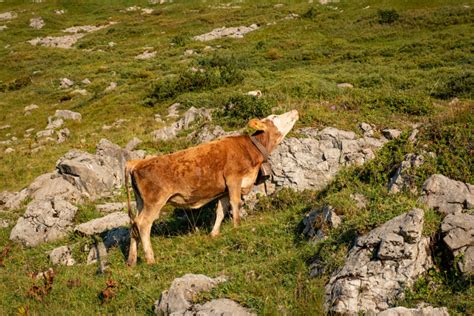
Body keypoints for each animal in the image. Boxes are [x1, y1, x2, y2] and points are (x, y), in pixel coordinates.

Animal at [124, 110, 298, 266]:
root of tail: (136, 163)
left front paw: (214, 234)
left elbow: (221, 210)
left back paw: (132, 261)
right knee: (143, 224)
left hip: (141, 202)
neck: (250, 151)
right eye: (274, 117)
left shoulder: (224, 190)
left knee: (133, 223)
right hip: (154, 201)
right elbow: (236, 204)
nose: (295, 111)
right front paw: (237, 227)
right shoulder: (233, 179)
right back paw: (150, 259)